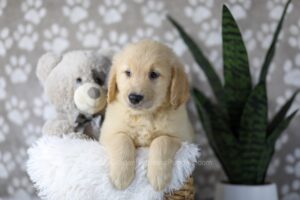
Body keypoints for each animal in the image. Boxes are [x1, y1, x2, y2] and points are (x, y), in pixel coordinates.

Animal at [99, 39, 196, 191]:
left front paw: (158, 176)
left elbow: (161, 140)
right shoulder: (108, 133)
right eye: (128, 72)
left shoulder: (183, 138)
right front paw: (121, 176)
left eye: (154, 74)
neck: (144, 115)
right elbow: (123, 139)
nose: (134, 97)